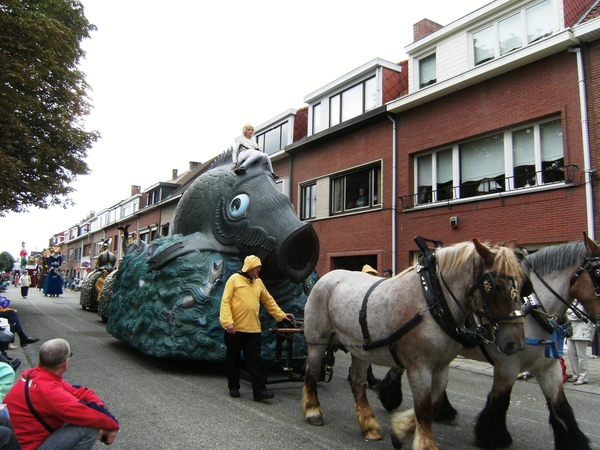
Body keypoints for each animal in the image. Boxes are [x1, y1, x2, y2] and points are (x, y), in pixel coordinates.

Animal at [302, 237, 528, 448]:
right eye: (494, 286)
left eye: (522, 284)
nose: (514, 344)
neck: (433, 301)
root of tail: (325, 277)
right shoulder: (419, 367)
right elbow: (424, 408)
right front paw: (425, 443)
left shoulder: (441, 367)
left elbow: (434, 404)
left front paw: (400, 432)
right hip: (317, 341)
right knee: (312, 372)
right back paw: (313, 411)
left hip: (359, 349)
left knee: (357, 383)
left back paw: (369, 425)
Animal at [378, 234, 600, 448]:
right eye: (597, 273)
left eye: (524, 287)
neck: (535, 309)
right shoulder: (508, 365)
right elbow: (499, 400)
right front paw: (493, 436)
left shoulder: (548, 366)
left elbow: (560, 406)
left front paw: (574, 441)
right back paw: (391, 397)